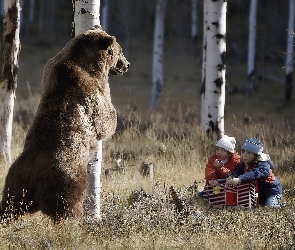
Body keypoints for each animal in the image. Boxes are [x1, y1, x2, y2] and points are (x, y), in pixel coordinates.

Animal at [0, 25, 130, 221]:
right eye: (119, 51)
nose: (127, 64)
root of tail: (33, 177)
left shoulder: (50, 68)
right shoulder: (91, 88)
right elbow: (105, 118)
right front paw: (113, 119)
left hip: (15, 183)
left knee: (9, 205)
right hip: (67, 181)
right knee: (68, 208)